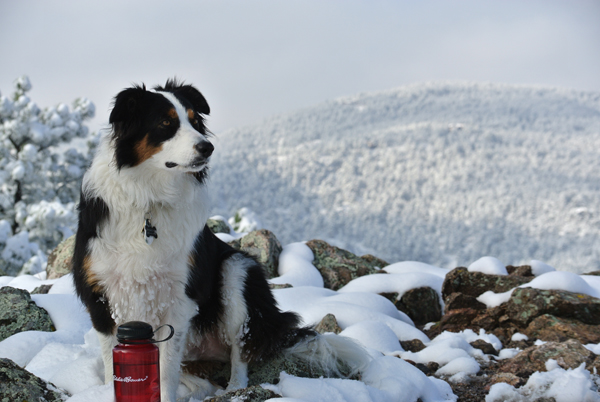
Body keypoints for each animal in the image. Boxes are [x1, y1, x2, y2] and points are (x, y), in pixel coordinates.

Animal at [72, 79, 368, 402]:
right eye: (165, 123)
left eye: (195, 121)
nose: (208, 146)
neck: (149, 199)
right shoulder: (100, 295)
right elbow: (112, 361)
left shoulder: (179, 297)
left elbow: (165, 370)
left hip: (238, 271)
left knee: (240, 353)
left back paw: (235, 389)